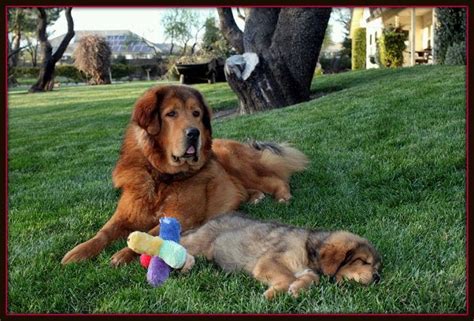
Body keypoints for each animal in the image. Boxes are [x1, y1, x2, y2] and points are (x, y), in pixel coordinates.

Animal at [61, 84, 310, 264]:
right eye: (171, 114)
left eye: (196, 113)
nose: (194, 133)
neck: (160, 177)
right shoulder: (124, 216)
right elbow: (102, 233)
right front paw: (78, 252)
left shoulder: (181, 217)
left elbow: (152, 232)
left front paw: (124, 252)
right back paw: (254, 197)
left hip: (237, 164)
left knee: (276, 179)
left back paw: (282, 196)